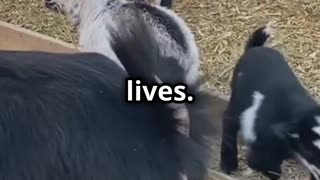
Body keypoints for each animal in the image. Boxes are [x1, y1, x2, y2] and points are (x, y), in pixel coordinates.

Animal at [219, 25, 320, 180]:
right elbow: (263, 166)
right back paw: (228, 164)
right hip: (237, 99)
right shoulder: (264, 147)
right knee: (228, 120)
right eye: (308, 150)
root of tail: (254, 48)